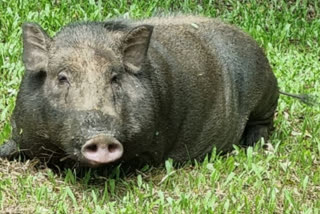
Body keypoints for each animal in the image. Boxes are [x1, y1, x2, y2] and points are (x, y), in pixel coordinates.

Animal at [0, 15, 278, 168]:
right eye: (62, 77)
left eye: (114, 78)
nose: (101, 137)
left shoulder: (149, 148)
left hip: (266, 93)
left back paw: (253, 143)